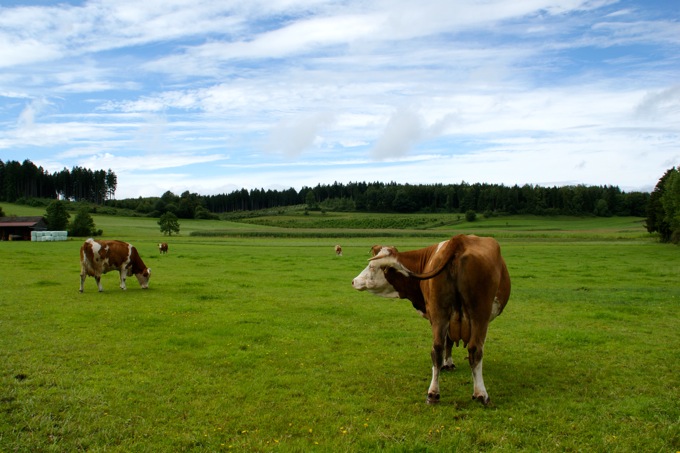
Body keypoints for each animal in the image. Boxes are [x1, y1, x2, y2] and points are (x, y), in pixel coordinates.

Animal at [354, 235, 508, 404]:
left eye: (371, 266)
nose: (354, 281)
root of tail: (459, 240)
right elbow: (450, 342)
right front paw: (448, 364)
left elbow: (446, 343)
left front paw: (446, 364)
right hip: (478, 315)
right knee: (475, 350)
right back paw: (481, 393)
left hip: (440, 312)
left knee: (437, 348)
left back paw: (433, 393)